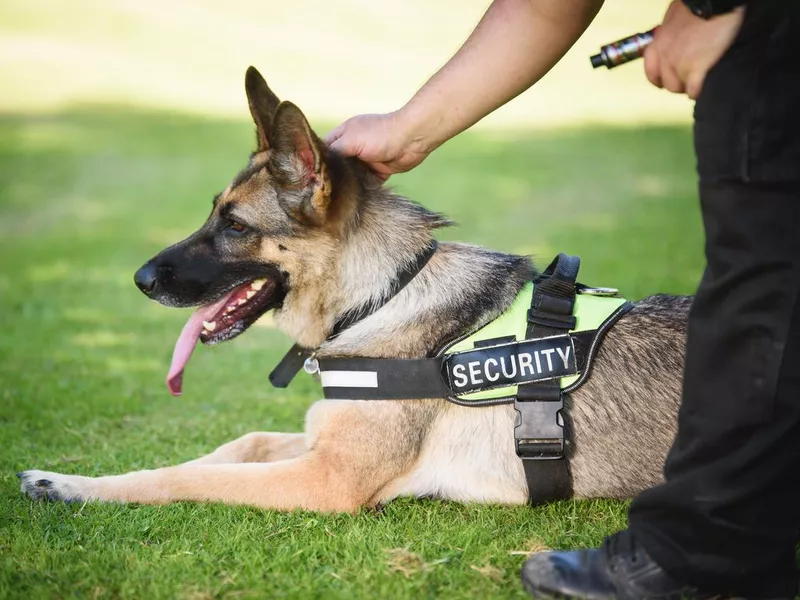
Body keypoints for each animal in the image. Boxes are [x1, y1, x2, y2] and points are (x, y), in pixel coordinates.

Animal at [17, 68, 688, 512]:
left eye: (235, 226)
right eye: (213, 213)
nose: (140, 280)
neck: (382, 297)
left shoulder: (325, 480)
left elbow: (181, 479)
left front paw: (75, 487)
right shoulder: (314, 444)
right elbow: (236, 443)